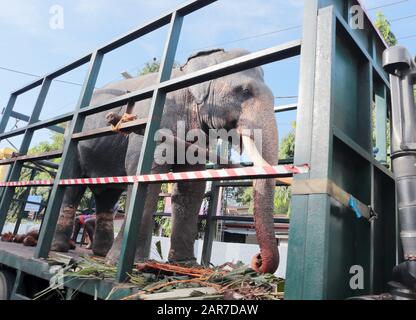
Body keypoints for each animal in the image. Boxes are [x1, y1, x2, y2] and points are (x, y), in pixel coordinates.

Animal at [51, 48, 280, 274]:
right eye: (245, 91)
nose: (257, 260)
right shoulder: (154, 122)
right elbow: (146, 172)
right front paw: (123, 263)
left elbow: (191, 186)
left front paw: (186, 264)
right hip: (72, 144)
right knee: (72, 186)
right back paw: (61, 248)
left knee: (109, 193)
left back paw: (100, 254)